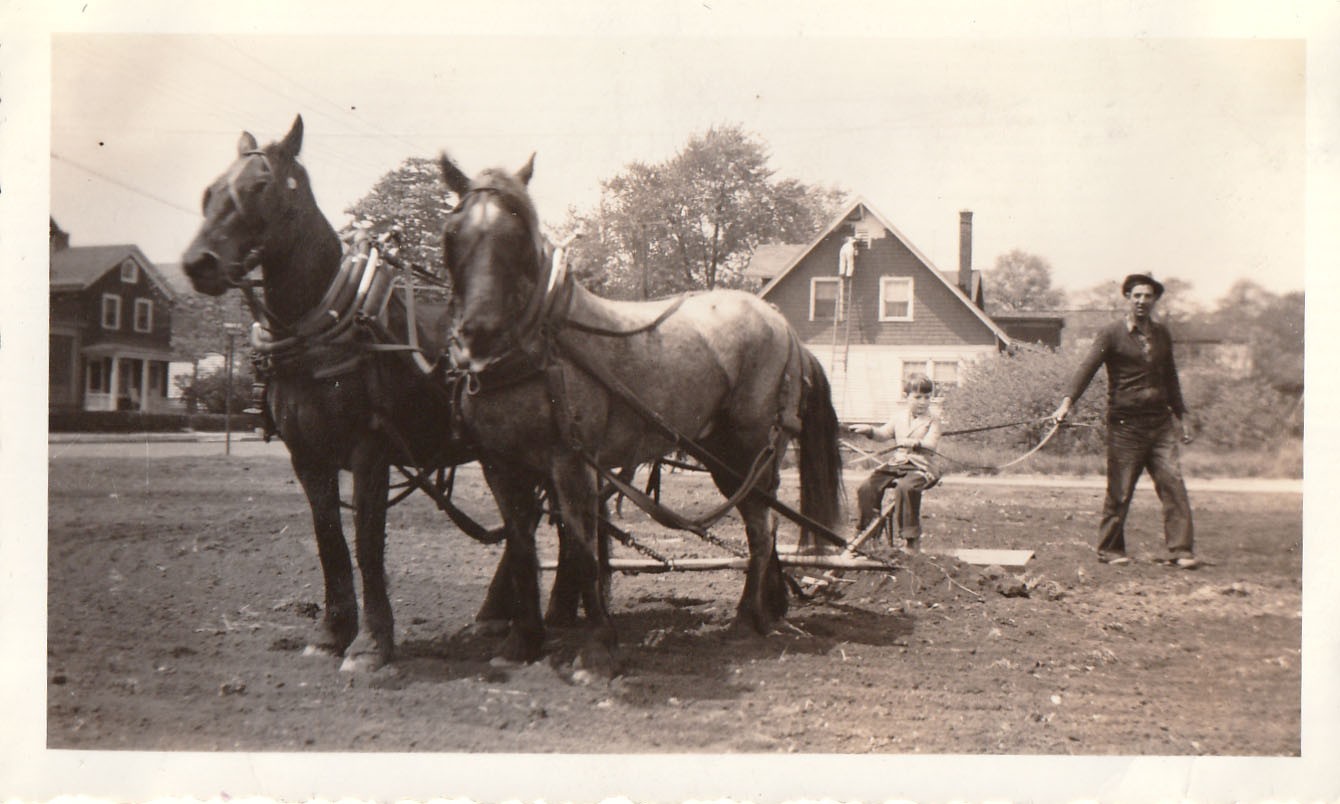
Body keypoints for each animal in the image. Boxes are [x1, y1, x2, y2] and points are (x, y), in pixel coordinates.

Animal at [180, 116, 526, 672]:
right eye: (210, 191)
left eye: (260, 186)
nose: (198, 263)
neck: (324, 334)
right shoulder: (307, 457)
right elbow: (330, 542)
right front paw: (331, 633)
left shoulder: (370, 452)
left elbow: (367, 543)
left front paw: (371, 643)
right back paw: (499, 613)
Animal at [437, 152, 845, 675]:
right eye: (452, 233)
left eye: (521, 233)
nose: (479, 333)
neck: (534, 353)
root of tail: (783, 326)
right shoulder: (500, 466)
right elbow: (522, 549)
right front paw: (522, 642)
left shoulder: (571, 462)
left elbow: (584, 549)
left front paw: (596, 649)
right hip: (719, 452)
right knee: (764, 525)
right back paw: (767, 610)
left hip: (750, 450)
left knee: (762, 528)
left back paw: (744, 620)